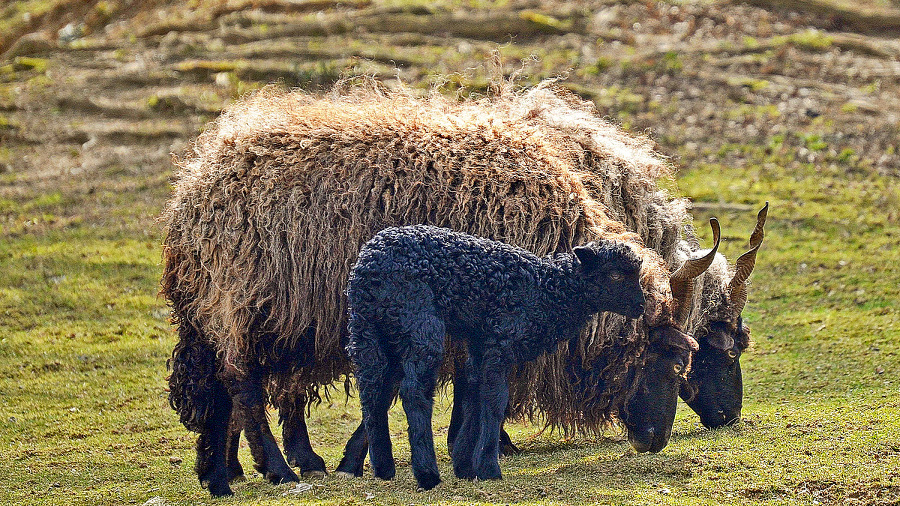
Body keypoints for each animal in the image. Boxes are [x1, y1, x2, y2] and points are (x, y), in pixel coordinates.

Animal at [344, 225, 648, 490]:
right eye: (615, 275)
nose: (641, 306)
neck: (545, 290)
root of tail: (368, 267)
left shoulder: (481, 344)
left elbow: (474, 398)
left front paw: (465, 465)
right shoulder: (501, 340)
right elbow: (495, 400)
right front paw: (489, 468)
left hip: (373, 330)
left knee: (373, 392)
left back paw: (383, 469)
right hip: (417, 320)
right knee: (414, 392)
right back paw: (427, 474)